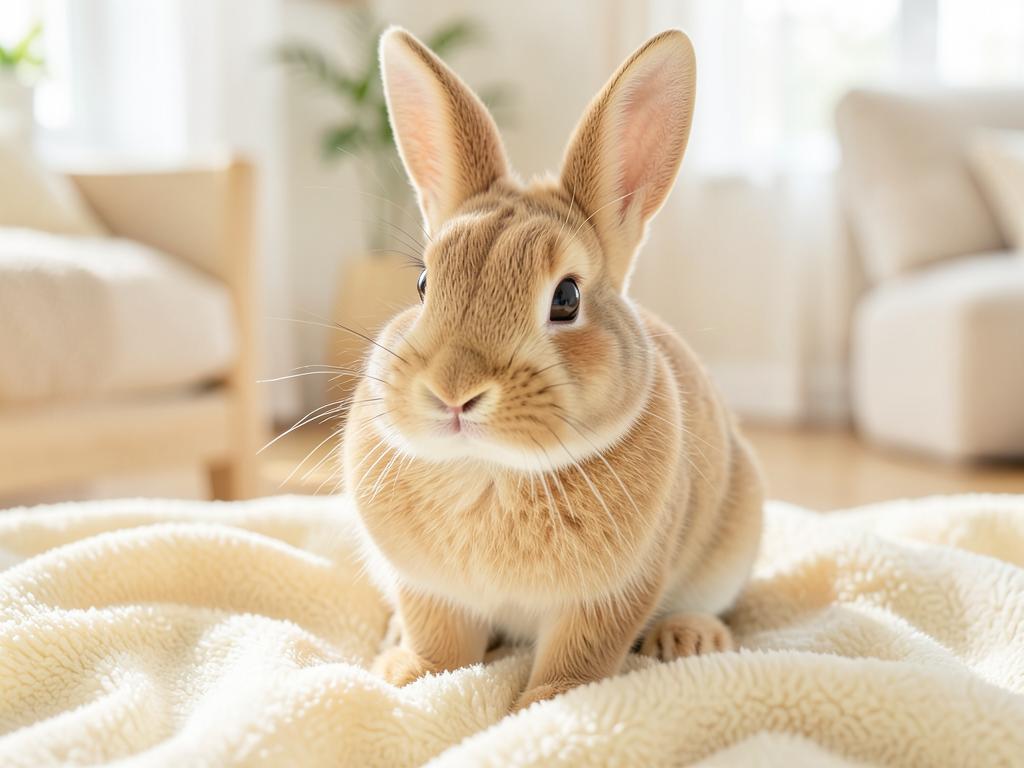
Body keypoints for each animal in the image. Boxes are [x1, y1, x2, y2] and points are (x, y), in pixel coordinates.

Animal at [341, 26, 764, 712]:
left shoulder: (610, 596)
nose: (455, 392)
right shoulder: (429, 590)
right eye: (424, 284)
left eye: (566, 298)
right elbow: (441, 641)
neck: (490, 472)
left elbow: (581, 653)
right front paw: (410, 678)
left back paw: (688, 638)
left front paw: (545, 702)